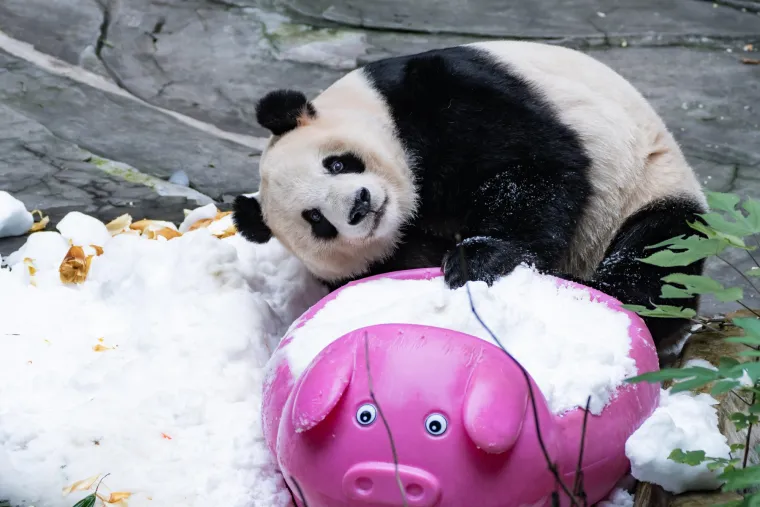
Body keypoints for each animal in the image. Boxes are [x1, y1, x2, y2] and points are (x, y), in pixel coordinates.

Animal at [233, 40, 707, 361]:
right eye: (316, 220)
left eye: (335, 164)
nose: (359, 206)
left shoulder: (436, 96)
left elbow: (532, 166)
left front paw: (478, 258)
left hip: (647, 182)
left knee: (658, 258)